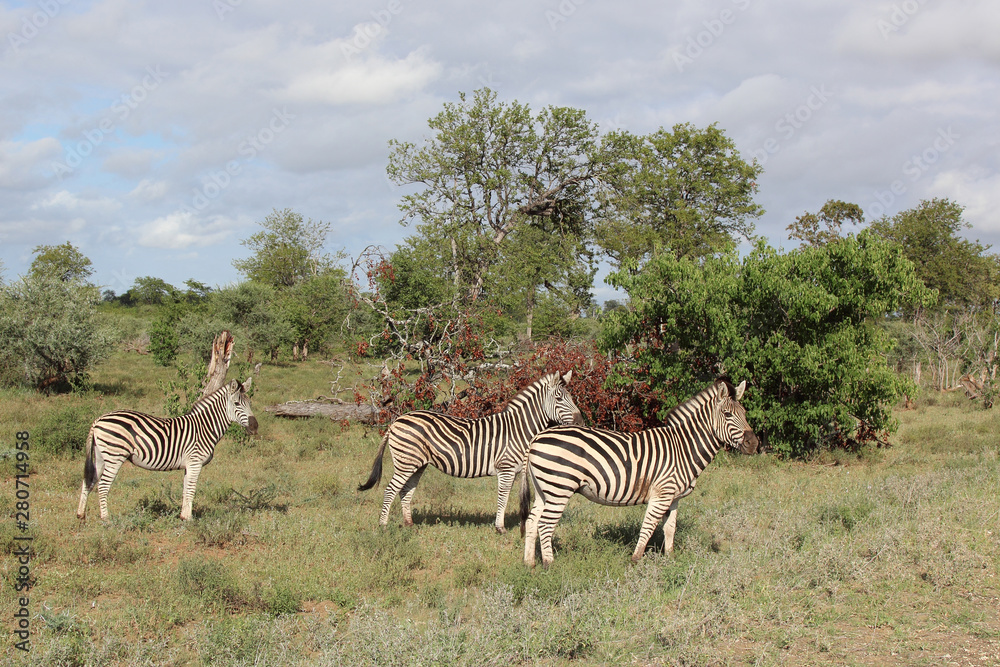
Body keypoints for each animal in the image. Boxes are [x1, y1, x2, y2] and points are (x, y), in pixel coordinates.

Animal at [76, 377, 258, 521]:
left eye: (250, 403)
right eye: (236, 403)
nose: (255, 426)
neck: (204, 427)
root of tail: (98, 419)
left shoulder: (188, 465)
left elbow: (185, 490)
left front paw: (183, 516)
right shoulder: (195, 462)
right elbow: (191, 490)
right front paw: (190, 519)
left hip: (101, 456)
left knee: (89, 481)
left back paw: (81, 515)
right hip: (114, 456)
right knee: (102, 485)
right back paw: (106, 519)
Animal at [358, 371, 583, 533]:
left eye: (572, 397)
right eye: (559, 398)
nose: (581, 422)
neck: (519, 428)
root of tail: (397, 420)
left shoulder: (516, 470)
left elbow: (512, 498)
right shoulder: (506, 468)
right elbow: (503, 496)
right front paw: (500, 528)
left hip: (417, 464)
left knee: (405, 490)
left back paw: (409, 524)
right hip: (406, 462)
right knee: (390, 490)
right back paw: (383, 526)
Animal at [522, 377, 758, 566]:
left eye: (745, 413)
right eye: (727, 414)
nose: (754, 444)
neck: (683, 448)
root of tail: (537, 437)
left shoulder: (674, 497)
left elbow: (670, 528)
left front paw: (670, 559)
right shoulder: (662, 494)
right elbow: (649, 526)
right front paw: (636, 560)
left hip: (544, 490)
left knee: (532, 521)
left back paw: (529, 563)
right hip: (559, 488)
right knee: (545, 524)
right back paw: (549, 565)